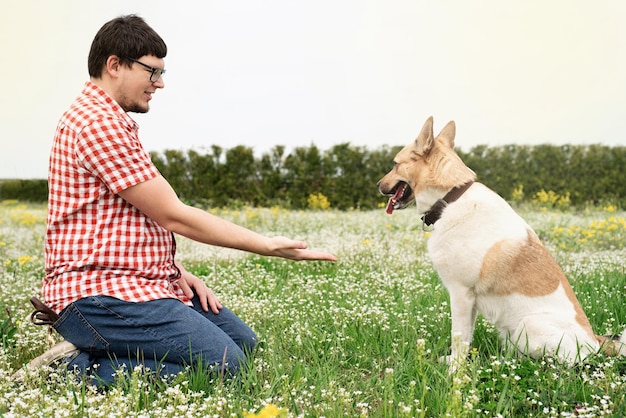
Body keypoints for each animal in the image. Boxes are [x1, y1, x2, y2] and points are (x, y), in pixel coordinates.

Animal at [376, 116, 624, 370]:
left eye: (395, 164)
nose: (377, 185)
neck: (450, 198)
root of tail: (595, 342)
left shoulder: (461, 294)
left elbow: (458, 336)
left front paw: (455, 370)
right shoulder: (470, 302)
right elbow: (466, 337)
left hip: (528, 326)